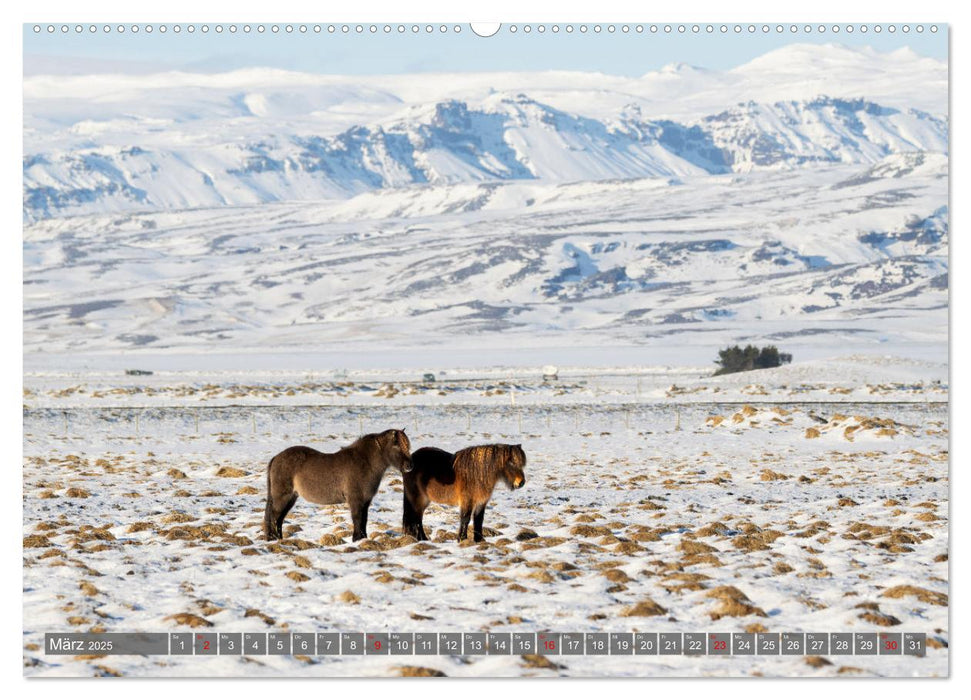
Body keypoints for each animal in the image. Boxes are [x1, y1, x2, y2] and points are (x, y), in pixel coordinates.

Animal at [264, 426, 412, 540]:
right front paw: (357, 540)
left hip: (290, 498)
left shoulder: (365, 501)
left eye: (407, 446)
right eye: (396, 445)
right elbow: (357, 520)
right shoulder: (356, 501)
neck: (365, 462)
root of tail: (276, 458)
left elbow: (363, 520)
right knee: (274, 517)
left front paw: (362, 539)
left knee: (279, 519)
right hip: (283, 497)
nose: (409, 466)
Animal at [400, 442, 528, 540]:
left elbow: (479, 520)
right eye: (511, 462)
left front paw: (479, 540)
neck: (478, 474)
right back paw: (422, 538)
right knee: (417, 518)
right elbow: (465, 519)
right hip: (417, 499)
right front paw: (462, 539)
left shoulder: (481, 502)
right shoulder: (467, 501)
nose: (521, 482)